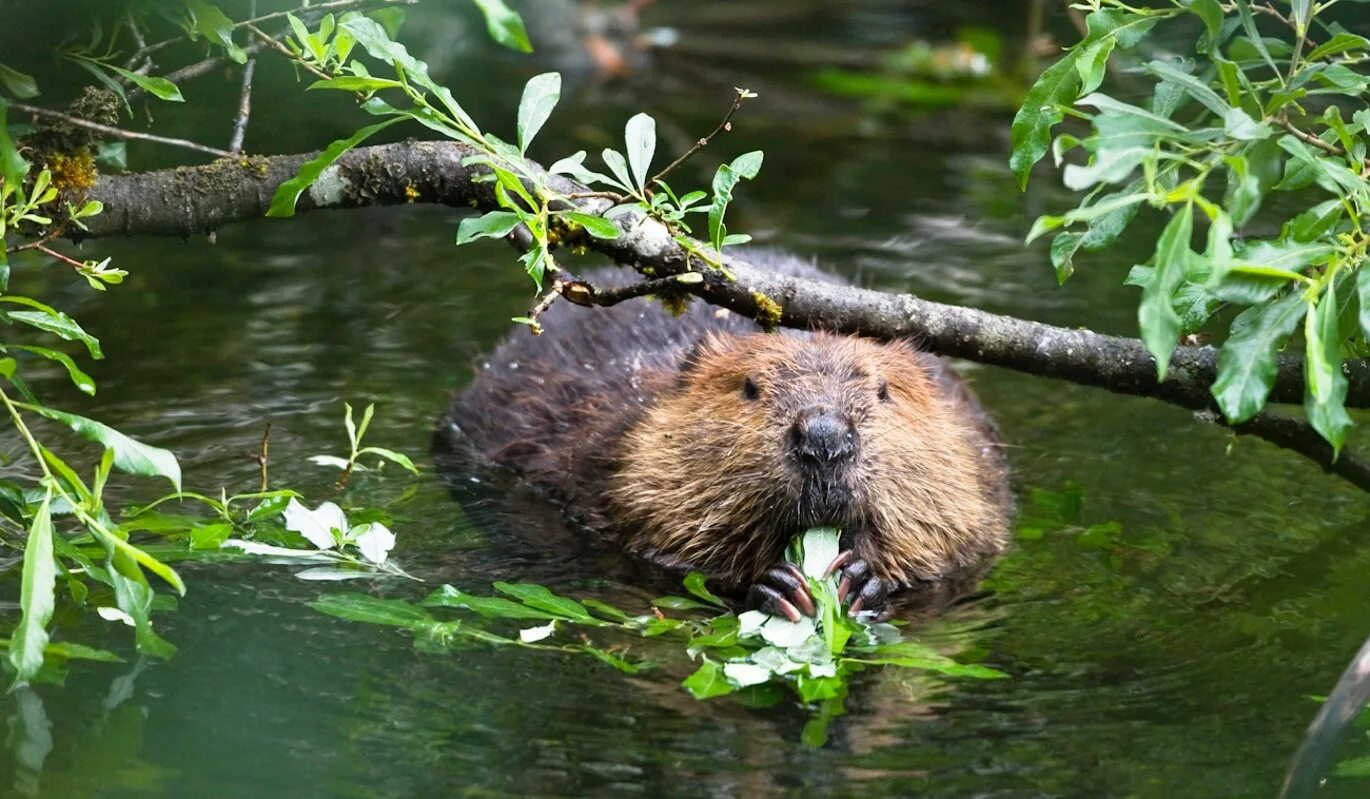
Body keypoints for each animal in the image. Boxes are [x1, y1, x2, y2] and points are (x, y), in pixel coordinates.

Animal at [435, 253, 1008, 622]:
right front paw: (775, 583)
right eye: (750, 387)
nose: (824, 439)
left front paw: (865, 580)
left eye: (884, 390)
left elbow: (961, 531)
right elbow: (656, 524)